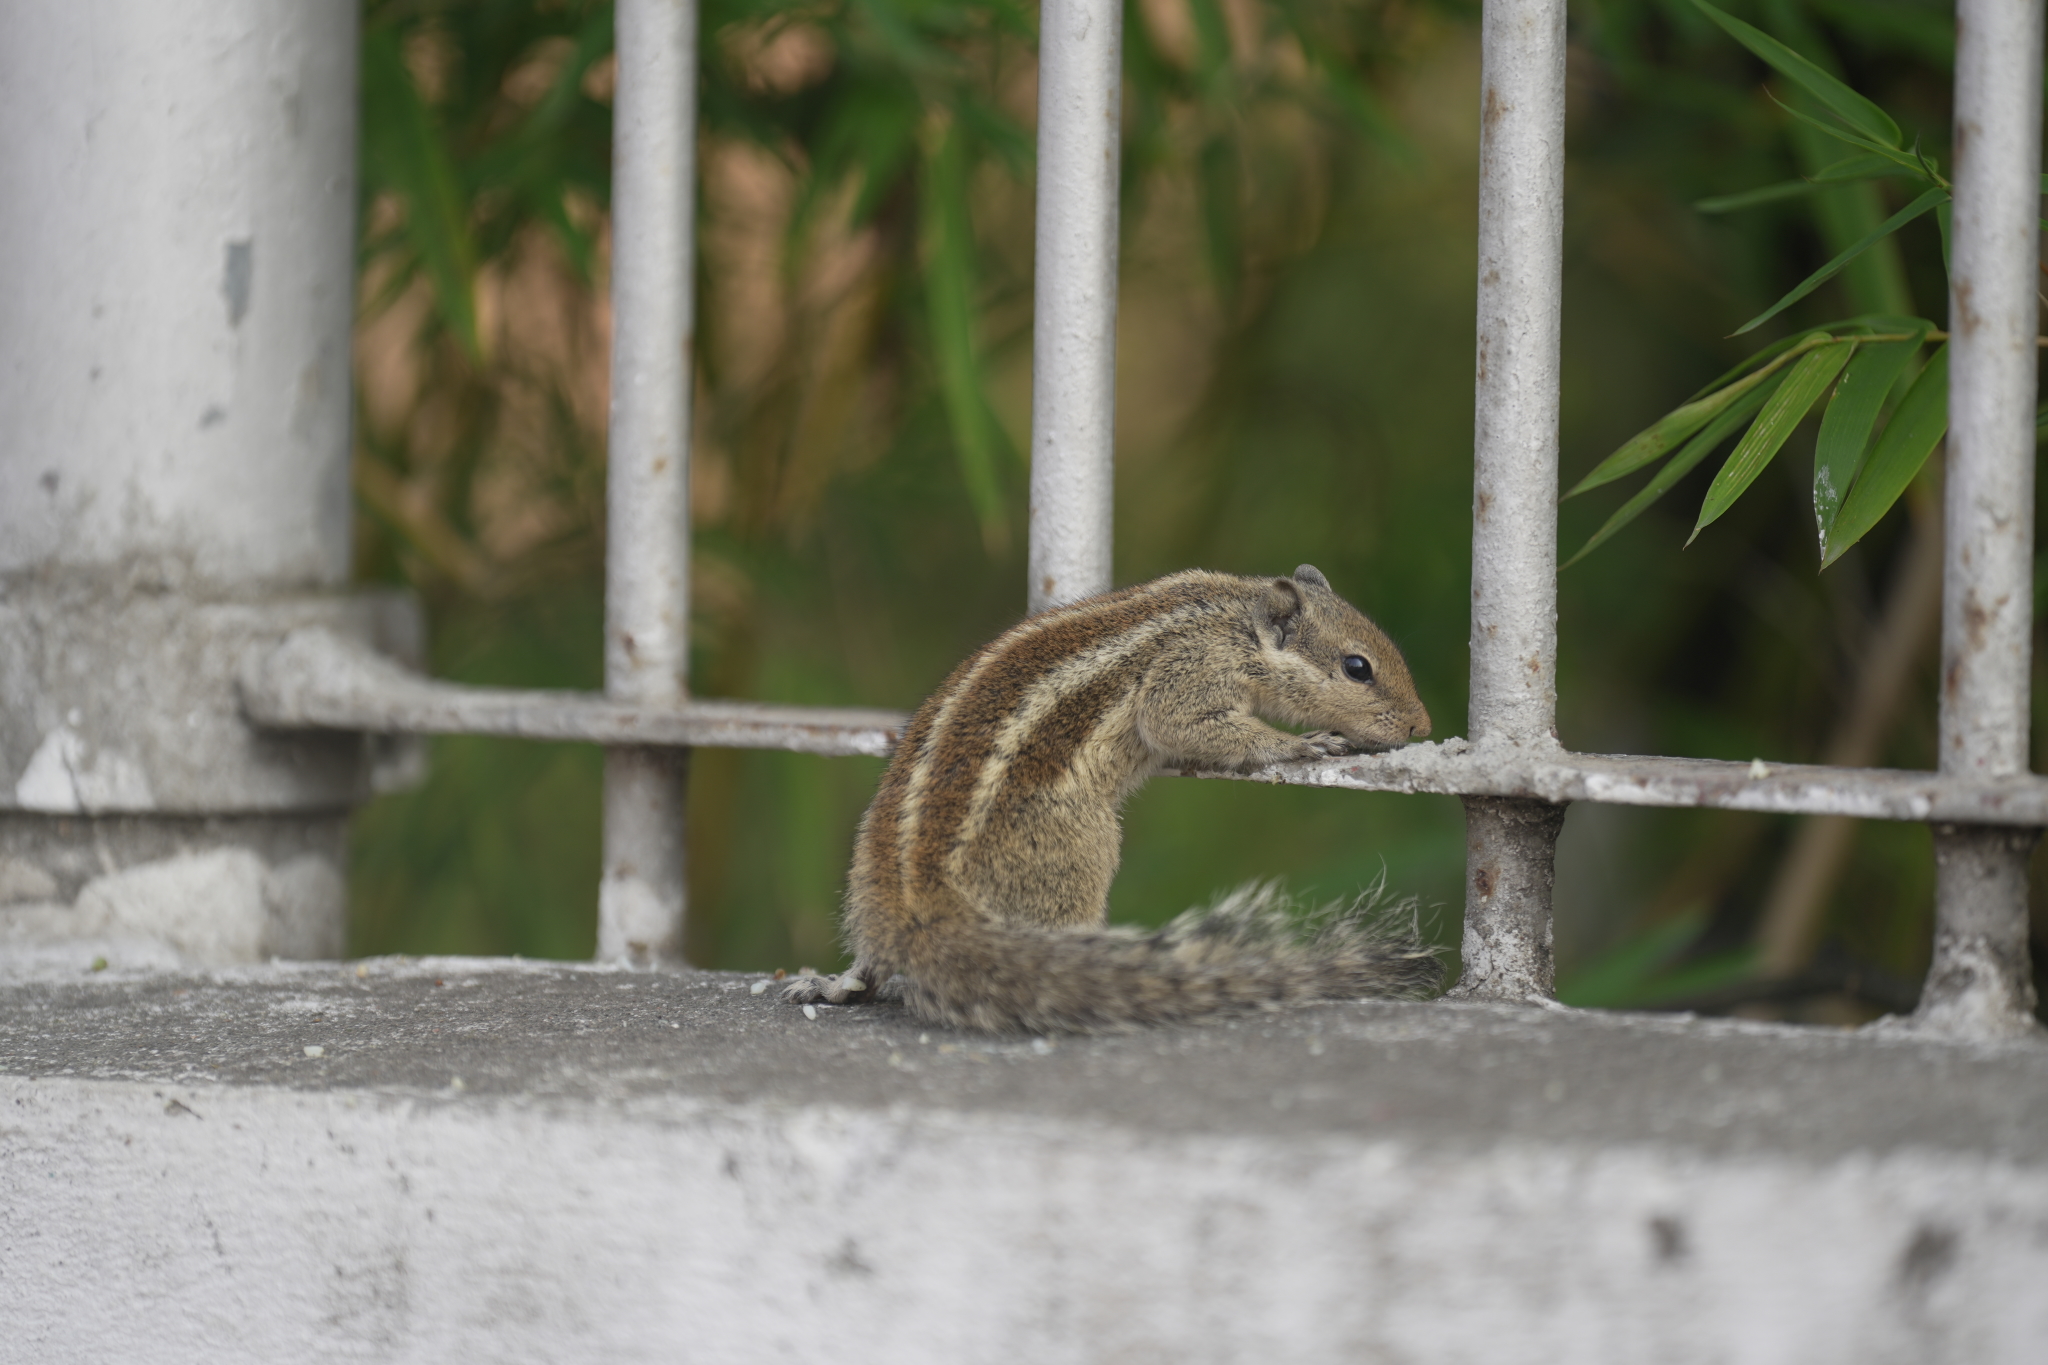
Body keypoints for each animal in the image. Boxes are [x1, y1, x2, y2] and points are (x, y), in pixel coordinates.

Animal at [782, 560, 1441, 1031]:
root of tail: (922, 910)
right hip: (1083, 851)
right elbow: (1180, 726)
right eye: (1357, 667)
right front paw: (1301, 744)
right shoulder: (1188, 674)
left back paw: (835, 984)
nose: (1421, 726)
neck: (1231, 616)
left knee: (871, 964)